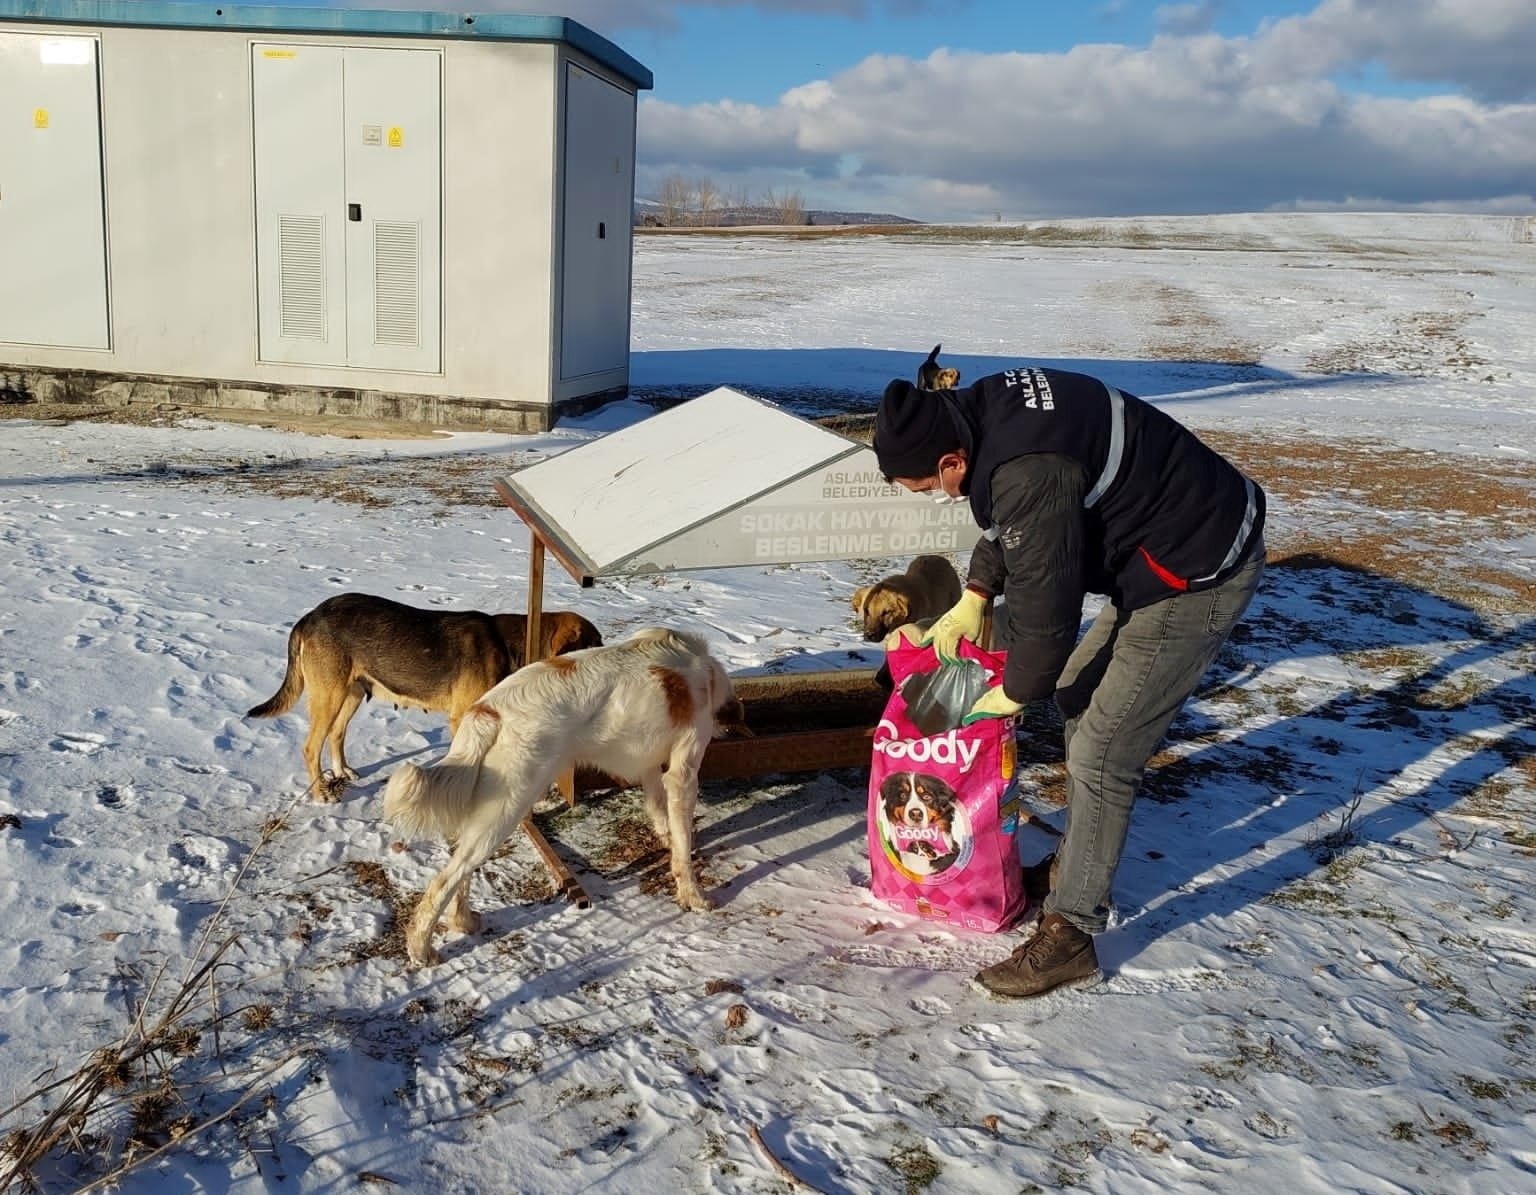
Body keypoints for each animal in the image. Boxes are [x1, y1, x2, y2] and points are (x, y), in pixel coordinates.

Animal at [245, 589, 599, 798]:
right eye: (596, 644)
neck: (509, 644)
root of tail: (310, 616)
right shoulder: (462, 720)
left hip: (352, 693)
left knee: (336, 734)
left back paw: (342, 771)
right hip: (329, 696)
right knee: (310, 747)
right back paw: (321, 794)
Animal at [380, 629, 734, 964]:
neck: (702, 668)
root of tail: (489, 709)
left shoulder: (650, 767)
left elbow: (660, 813)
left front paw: (666, 840)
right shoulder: (683, 773)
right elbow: (683, 847)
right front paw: (694, 895)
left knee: (458, 870)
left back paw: (463, 921)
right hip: (507, 810)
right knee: (444, 880)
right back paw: (421, 950)